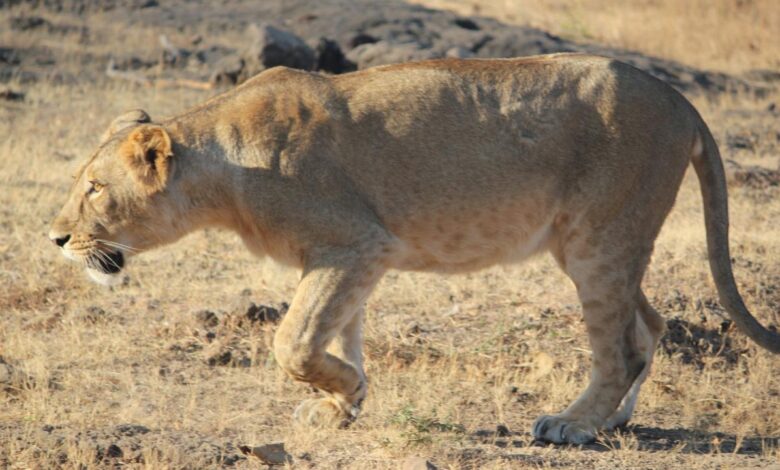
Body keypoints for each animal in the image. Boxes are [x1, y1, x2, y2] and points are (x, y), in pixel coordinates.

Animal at [51, 54, 776, 444]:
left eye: (94, 188)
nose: (55, 238)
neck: (223, 168)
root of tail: (679, 98)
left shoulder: (353, 243)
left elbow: (293, 341)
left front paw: (346, 393)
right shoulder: (355, 257)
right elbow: (337, 334)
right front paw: (342, 404)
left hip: (598, 241)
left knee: (621, 346)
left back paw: (573, 426)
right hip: (602, 243)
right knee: (648, 325)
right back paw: (612, 422)